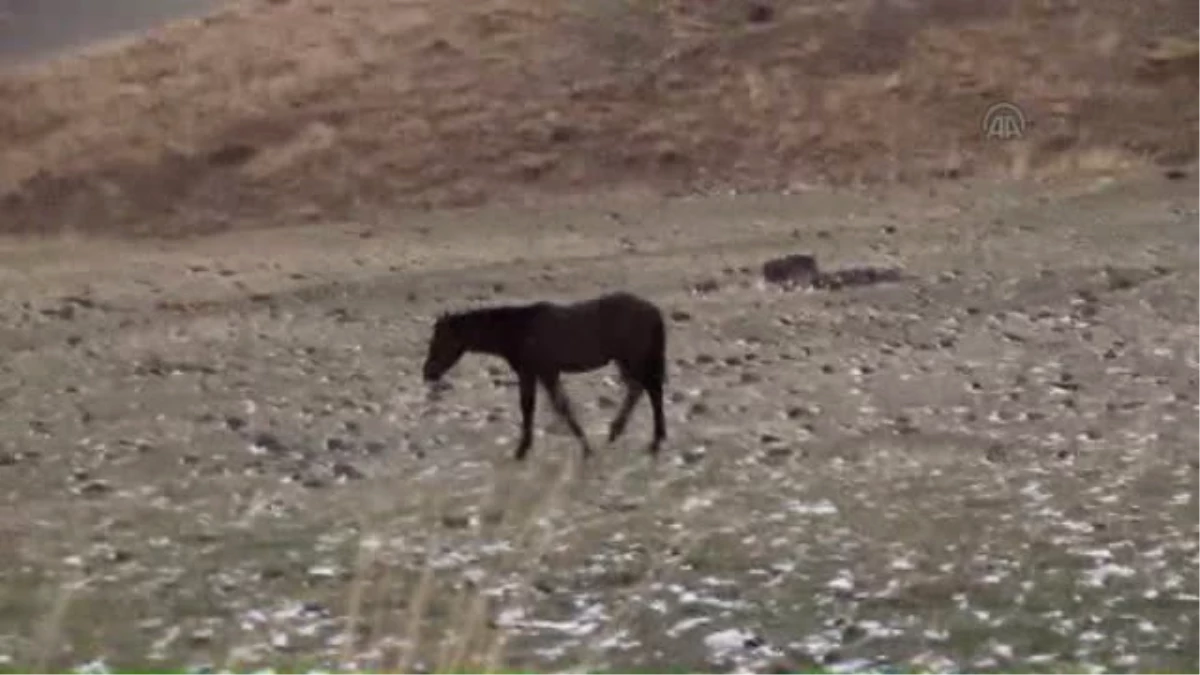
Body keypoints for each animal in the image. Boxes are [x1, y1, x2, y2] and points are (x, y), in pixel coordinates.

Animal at [420, 289, 667, 456]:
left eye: (440, 341)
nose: (428, 373)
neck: (521, 330)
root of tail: (653, 310)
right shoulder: (540, 374)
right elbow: (547, 407)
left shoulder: (538, 372)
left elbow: (544, 406)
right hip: (625, 361)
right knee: (638, 389)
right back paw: (618, 431)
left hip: (633, 359)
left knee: (651, 390)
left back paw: (654, 440)